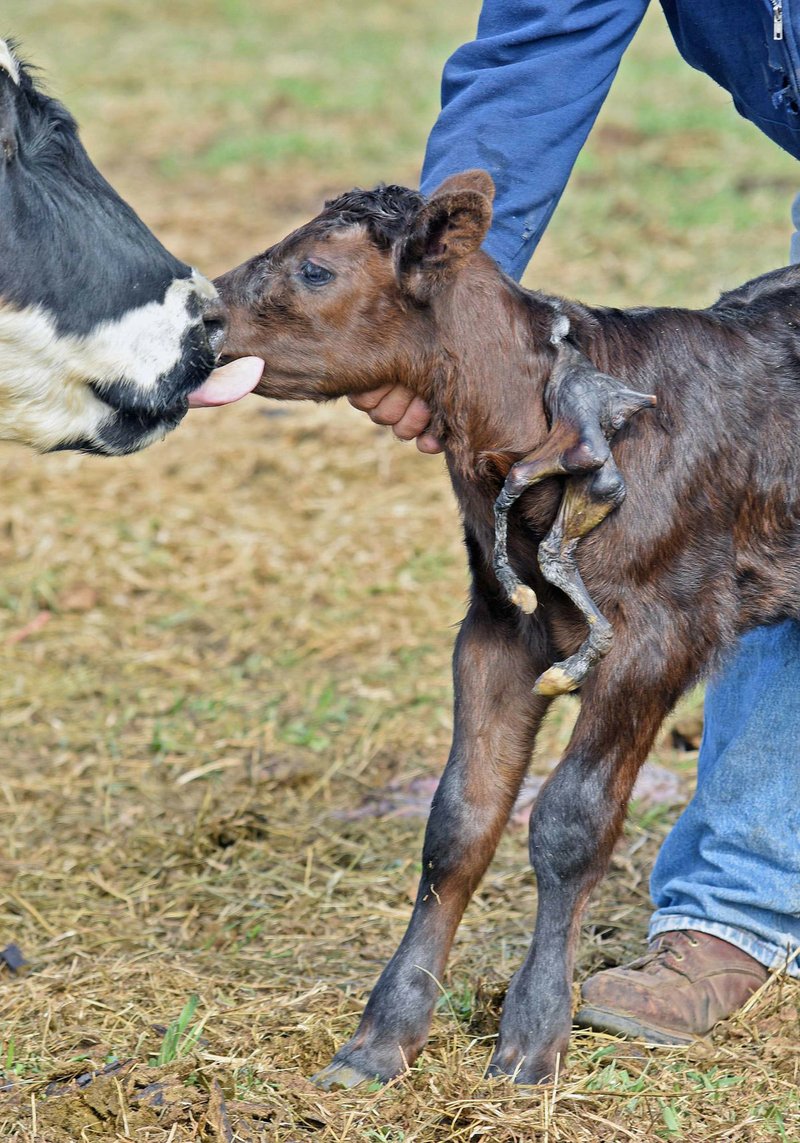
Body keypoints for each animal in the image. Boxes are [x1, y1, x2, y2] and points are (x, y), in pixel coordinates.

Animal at [216, 173, 800, 1083]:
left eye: (315, 268)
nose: (202, 313)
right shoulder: (495, 628)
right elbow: (459, 819)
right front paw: (382, 1036)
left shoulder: (655, 632)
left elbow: (569, 820)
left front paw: (531, 1036)